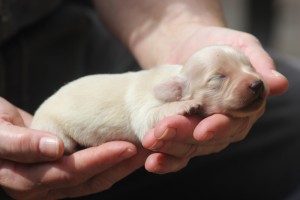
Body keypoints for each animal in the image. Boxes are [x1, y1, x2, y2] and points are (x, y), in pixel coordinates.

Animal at [31, 45, 270, 153]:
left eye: (250, 65)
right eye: (218, 78)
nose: (258, 84)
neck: (174, 78)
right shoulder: (143, 108)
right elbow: (150, 117)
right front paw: (187, 105)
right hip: (53, 129)